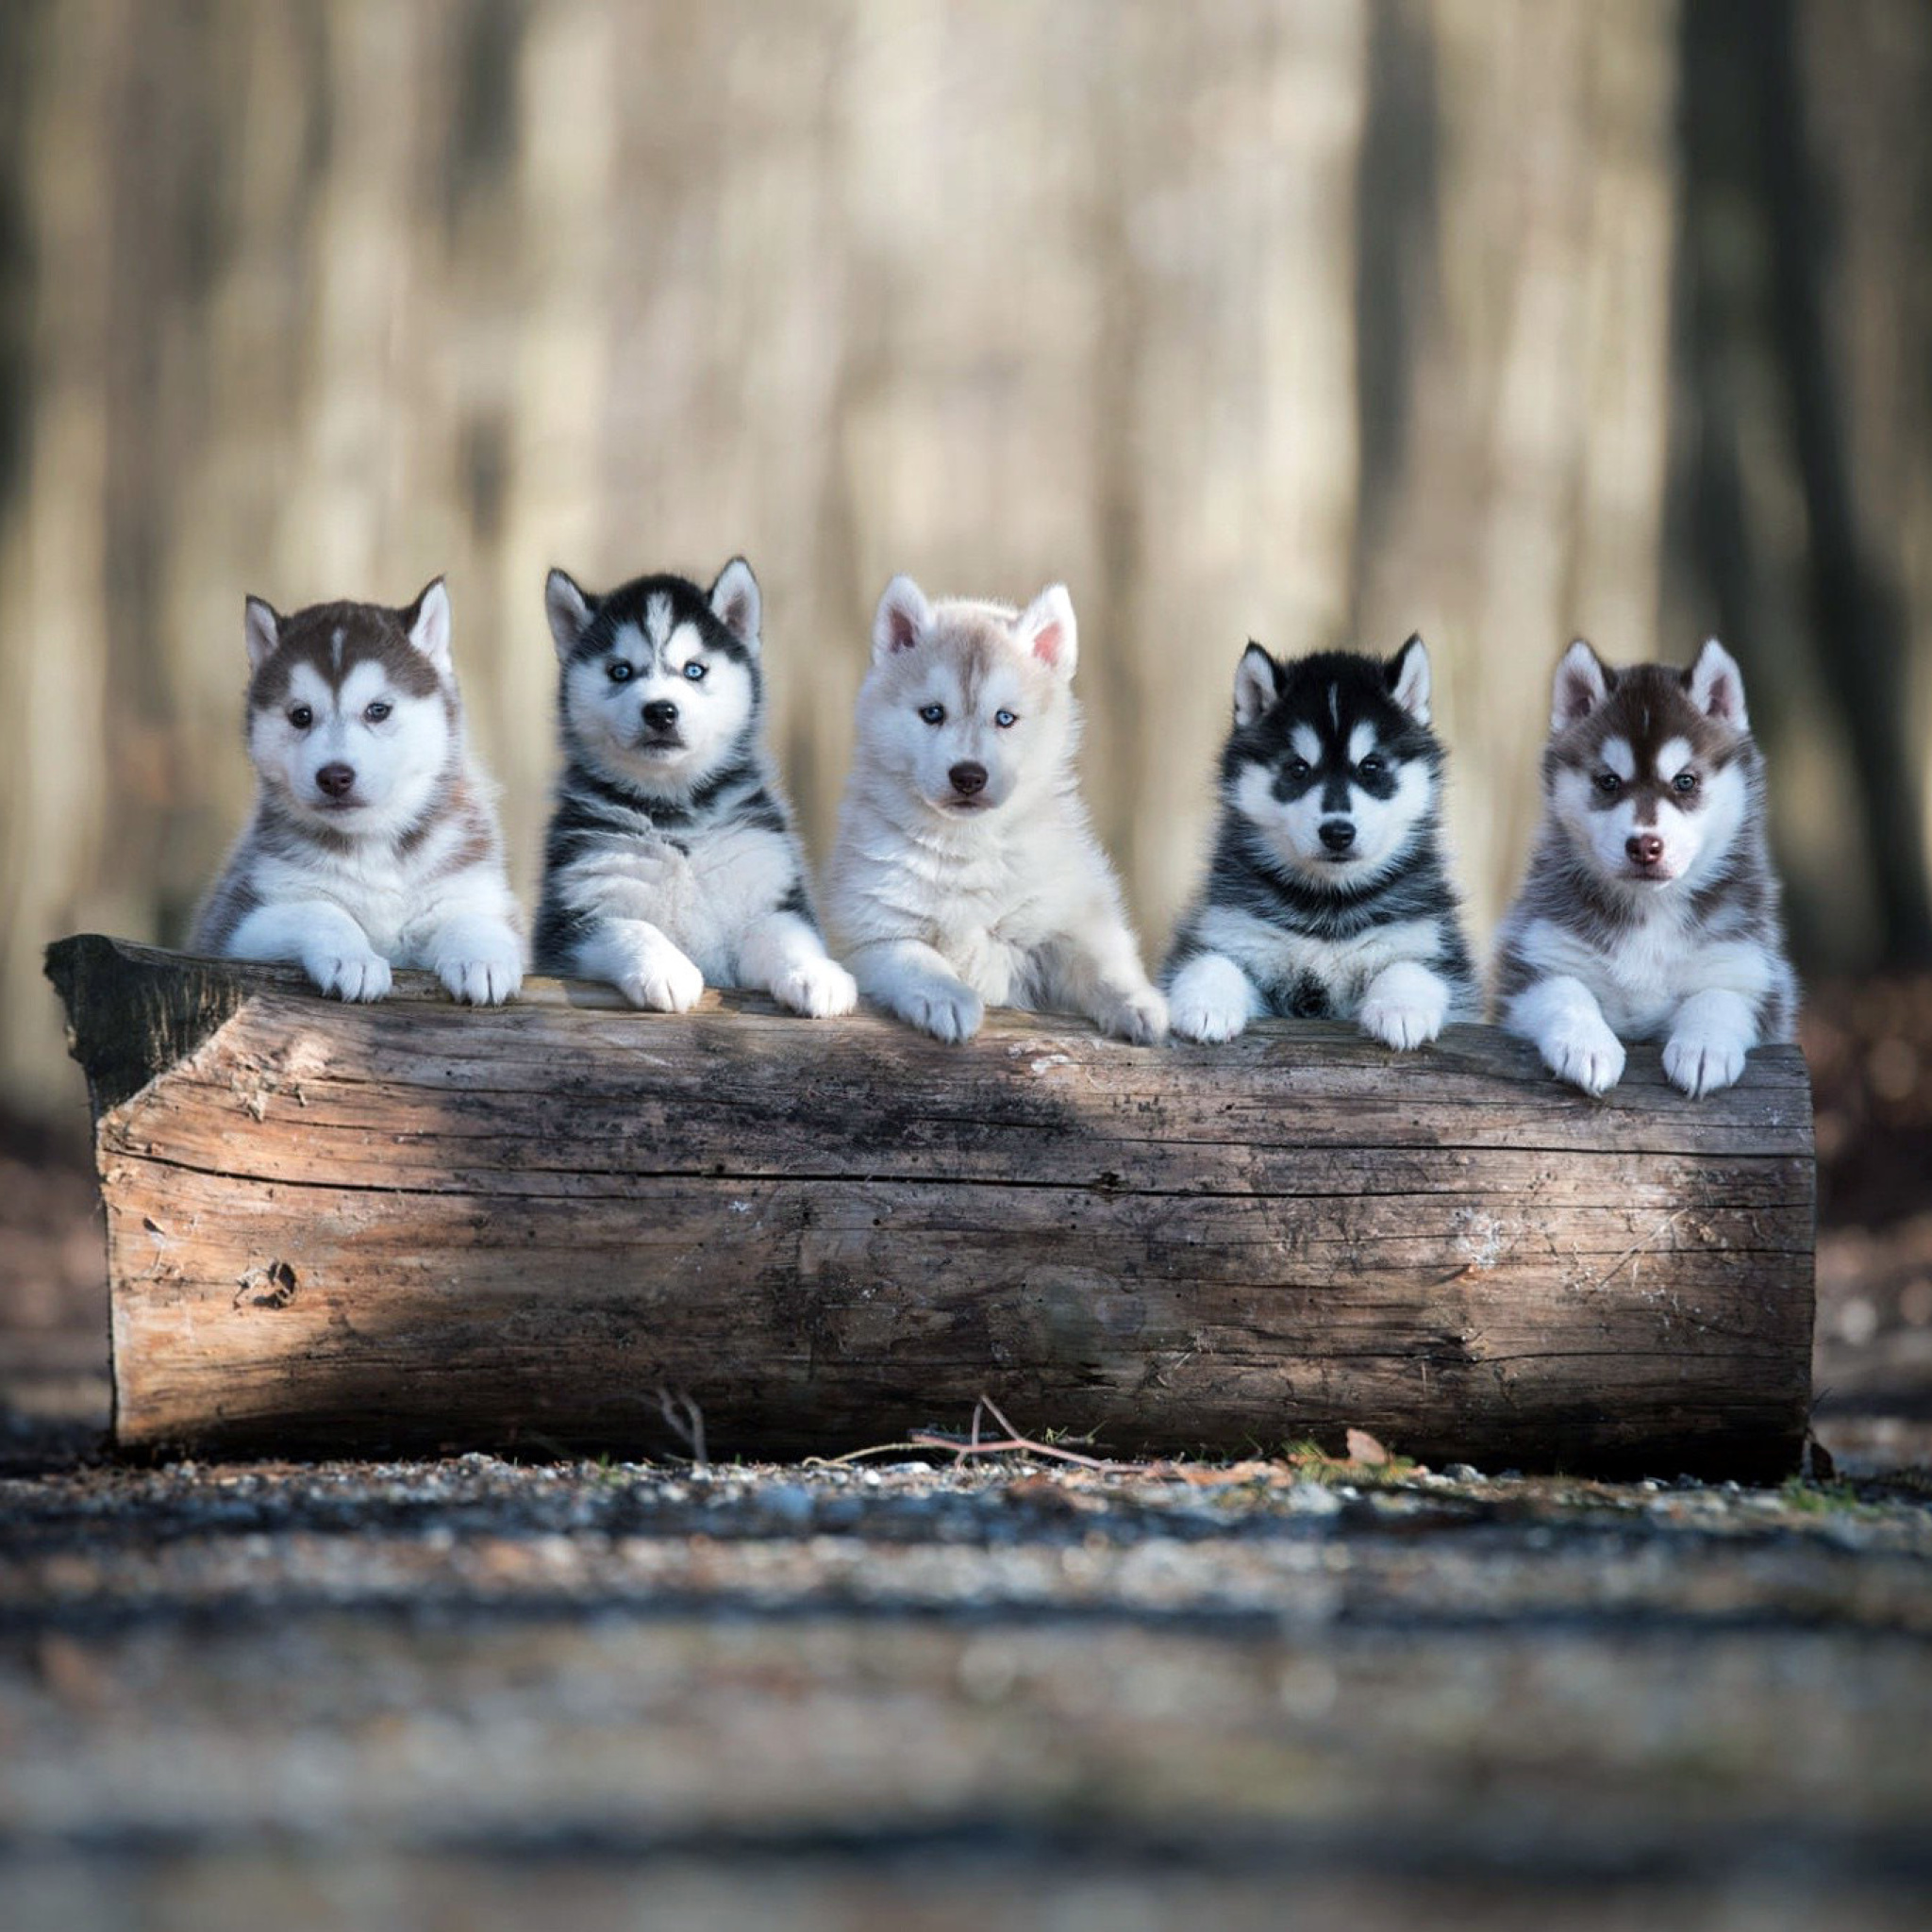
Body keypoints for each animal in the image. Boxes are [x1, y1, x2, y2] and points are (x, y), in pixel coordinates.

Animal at [192, 583, 525, 1012]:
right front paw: (353, 959)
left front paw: (481, 957)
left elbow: (471, 917)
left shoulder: (473, 887)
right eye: (301, 716)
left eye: (378, 710)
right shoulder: (237, 922)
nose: (334, 777)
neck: (374, 843)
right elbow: (319, 910)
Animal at [533, 556, 858, 1020]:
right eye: (620, 671)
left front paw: (815, 973)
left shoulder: (768, 891)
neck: (675, 816)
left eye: (694, 670)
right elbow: (629, 926)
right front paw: (665, 969)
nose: (660, 711)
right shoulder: (571, 918)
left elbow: (785, 933)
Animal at [826, 575, 1158, 1042]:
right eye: (933, 713)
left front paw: (1138, 1002)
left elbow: (1100, 962)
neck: (966, 845)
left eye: (1005, 718)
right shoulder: (871, 934)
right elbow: (917, 959)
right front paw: (947, 997)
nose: (968, 776)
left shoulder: (1068, 914)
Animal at [1158, 641, 1475, 1051]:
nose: (1337, 832)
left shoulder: (1429, 941)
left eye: (1371, 767)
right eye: (1298, 768)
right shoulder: (1234, 931)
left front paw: (1402, 1009)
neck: (1328, 905)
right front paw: (1205, 1003)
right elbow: (1210, 960)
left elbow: (1411, 966)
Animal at [1491, 637, 1792, 1105]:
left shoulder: (1750, 969)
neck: (1653, 910)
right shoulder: (1537, 957)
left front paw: (1703, 1047)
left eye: (1685, 781)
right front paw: (1586, 1044)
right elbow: (1565, 990)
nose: (1644, 846)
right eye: (1608, 781)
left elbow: (1719, 996)